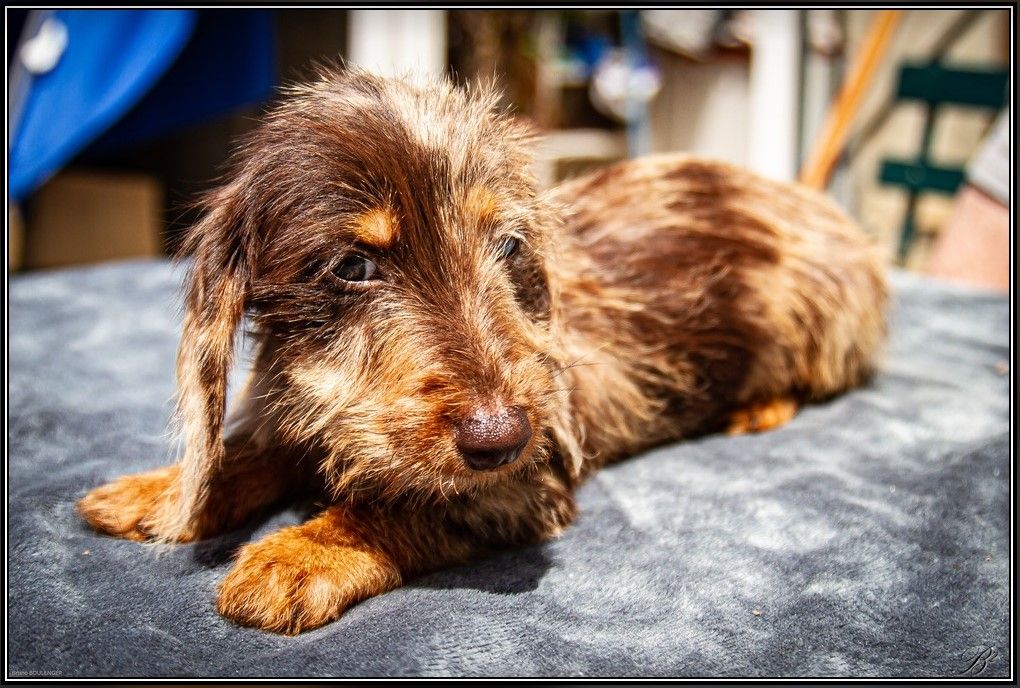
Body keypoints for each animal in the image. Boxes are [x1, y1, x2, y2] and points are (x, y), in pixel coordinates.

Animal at [79, 69, 889, 636]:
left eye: (507, 247)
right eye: (353, 265)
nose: (502, 437)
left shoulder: (523, 484)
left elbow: (395, 505)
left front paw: (302, 550)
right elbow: (252, 453)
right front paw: (166, 490)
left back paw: (760, 407)